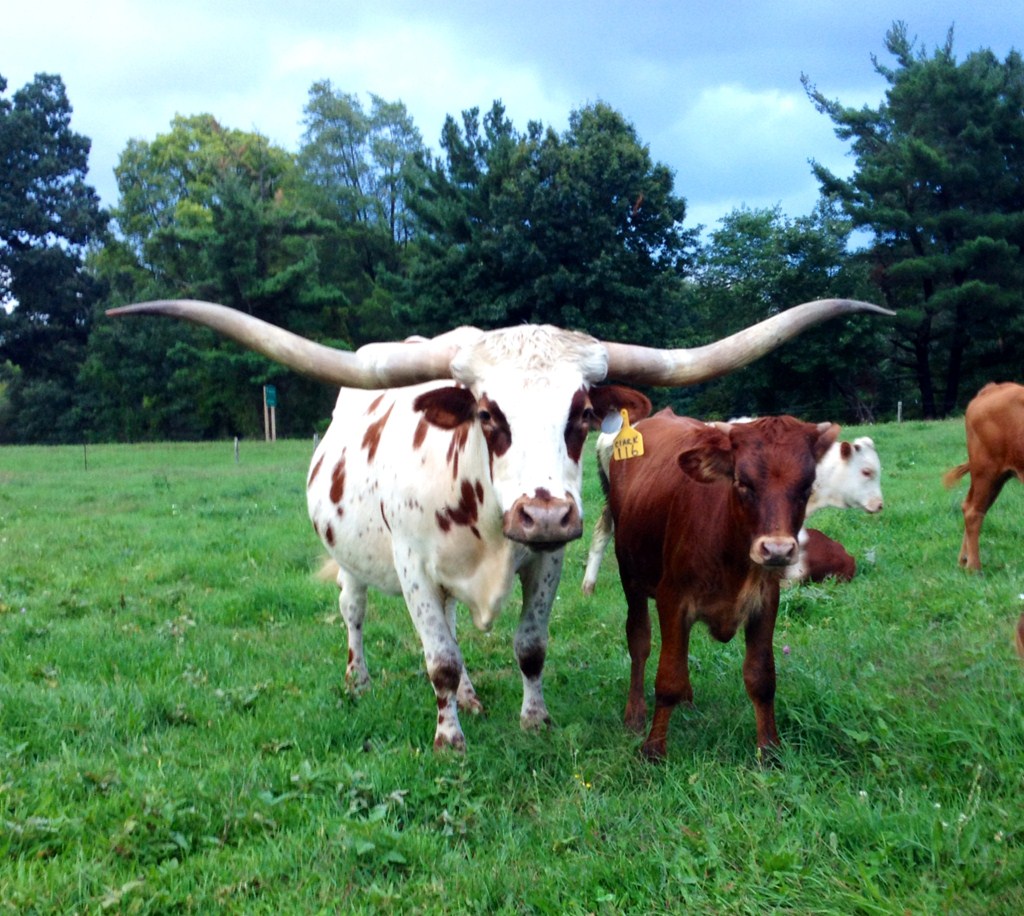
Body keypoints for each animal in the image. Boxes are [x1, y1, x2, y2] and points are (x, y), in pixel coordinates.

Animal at [605, 409, 839, 759]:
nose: (777, 550)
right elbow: (667, 678)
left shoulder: (765, 601)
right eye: (742, 482)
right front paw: (653, 749)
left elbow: (761, 677)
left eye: (807, 485)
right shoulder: (672, 598)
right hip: (631, 577)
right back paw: (635, 712)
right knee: (640, 640)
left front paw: (769, 751)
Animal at [942, 382, 1024, 572]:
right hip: (987, 472)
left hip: (996, 477)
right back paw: (974, 567)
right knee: (973, 512)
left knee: (969, 506)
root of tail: (994, 388)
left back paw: (963, 560)